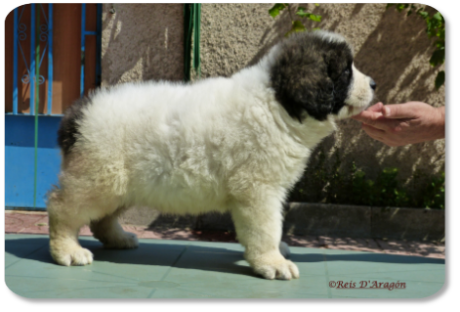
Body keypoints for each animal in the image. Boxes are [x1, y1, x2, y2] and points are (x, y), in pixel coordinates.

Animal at [48, 31, 376, 280]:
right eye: (346, 71)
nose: (374, 84)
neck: (278, 102)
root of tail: (76, 115)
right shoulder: (258, 190)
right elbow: (266, 227)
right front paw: (273, 262)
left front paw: (276, 253)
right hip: (98, 176)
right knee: (62, 207)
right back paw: (67, 250)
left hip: (120, 183)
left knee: (101, 218)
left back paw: (119, 238)